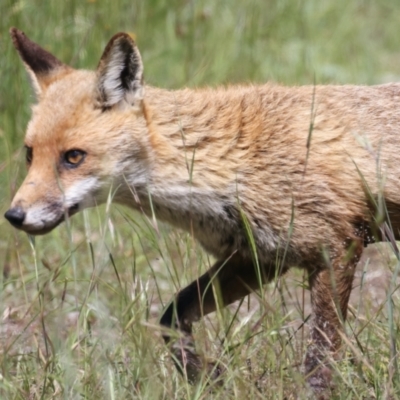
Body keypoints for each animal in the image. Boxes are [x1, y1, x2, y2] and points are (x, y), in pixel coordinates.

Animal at [5, 27, 400, 394]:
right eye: (29, 154)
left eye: (73, 157)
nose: (14, 216)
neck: (229, 162)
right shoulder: (256, 259)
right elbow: (170, 319)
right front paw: (206, 377)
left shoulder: (336, 248)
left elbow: (320, 357)